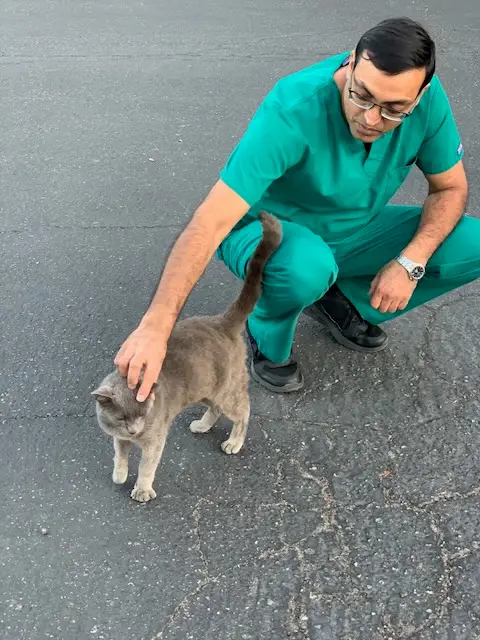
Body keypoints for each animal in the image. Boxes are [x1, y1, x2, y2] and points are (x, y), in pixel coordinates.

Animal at [90, 212, 282, 502]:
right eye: (122, 418)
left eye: (143, 414)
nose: (135, 430)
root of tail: (222, 322)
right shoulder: (119, 438)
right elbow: (119, 454)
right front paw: (120, 474)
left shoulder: (155, 439)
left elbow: (147, 465)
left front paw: (142, 489)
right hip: (206, 389)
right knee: (215, 408)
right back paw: (202, 425)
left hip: (227, 390)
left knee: (243, 410)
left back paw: (234, 442)